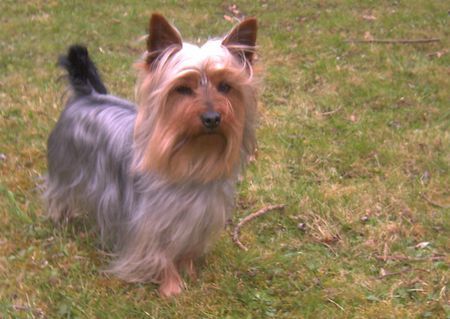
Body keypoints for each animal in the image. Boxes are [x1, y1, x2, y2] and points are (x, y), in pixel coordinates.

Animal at [45, 12, 258, 298]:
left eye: (225, 86)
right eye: (182, 89)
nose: (212, 118)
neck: (191, 158)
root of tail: (87, 95)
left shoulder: (199, 217)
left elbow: (187, 249)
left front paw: (189, 273)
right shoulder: (149, 223)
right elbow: (160, 254)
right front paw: (172, 287)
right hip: (66, 167)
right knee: (60, 193)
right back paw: (62, 220)